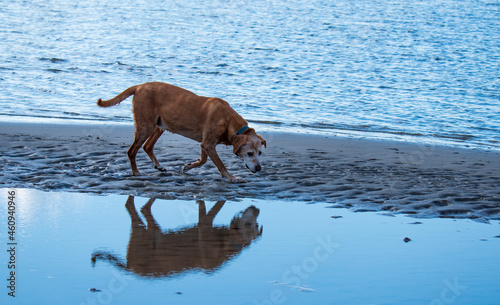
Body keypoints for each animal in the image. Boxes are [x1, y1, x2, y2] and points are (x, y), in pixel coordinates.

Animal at [99, 81, 268, 182]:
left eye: (260, 153)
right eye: (250, 153)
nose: (259, 169)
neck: (230, 124)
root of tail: (139, 86)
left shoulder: (206, 143)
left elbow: (203, 160)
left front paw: (188, 166)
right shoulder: (208, 144)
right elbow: (220, 164)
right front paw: (231, 177)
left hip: (160, 125)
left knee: (147, 146)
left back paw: (158, 166)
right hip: (145, 126)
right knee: (132, 150)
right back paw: (136, 172)